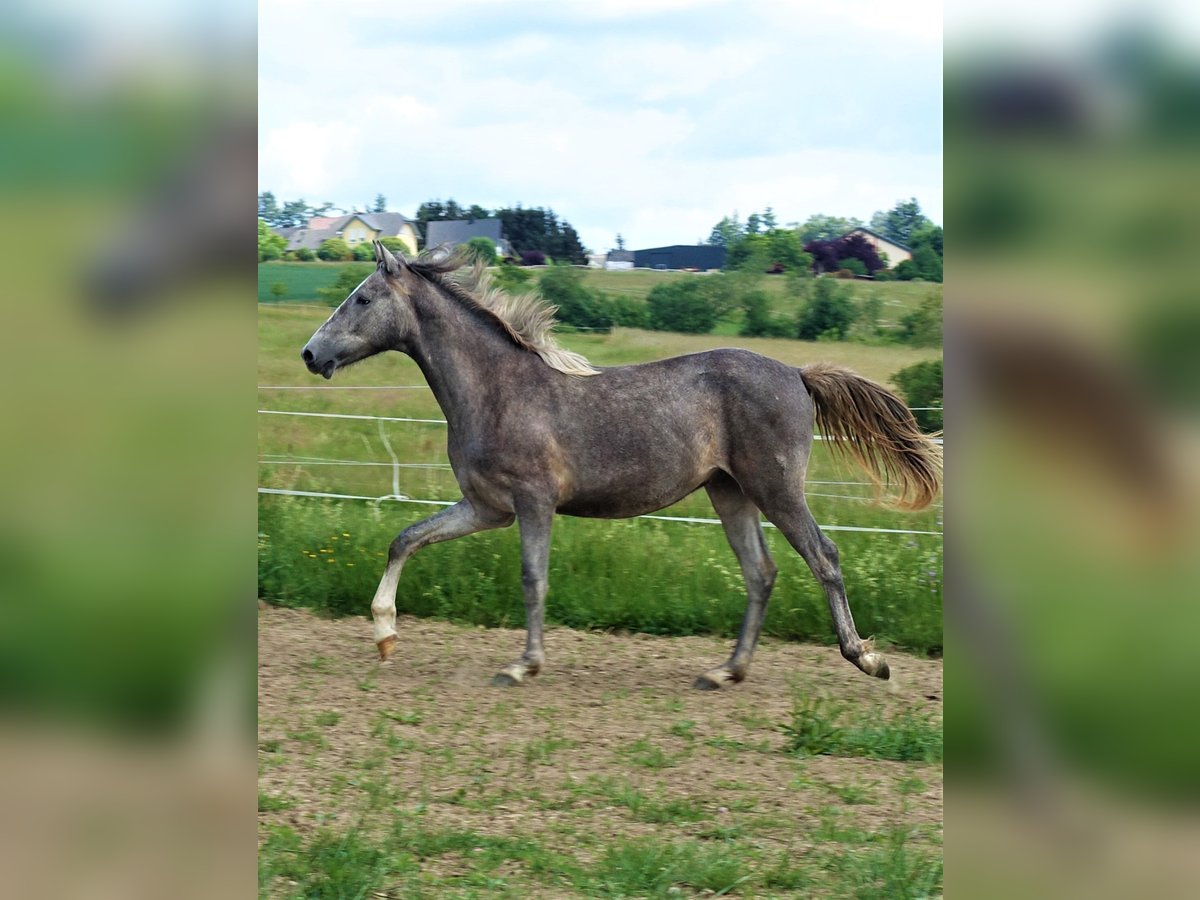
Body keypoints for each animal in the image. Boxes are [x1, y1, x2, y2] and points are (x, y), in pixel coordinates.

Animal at [297, 241, 936, 691]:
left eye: (362, 298)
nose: (310, 353)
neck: (496, 390)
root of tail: (799, 375)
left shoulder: (532, 502)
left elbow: (532, 578)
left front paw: (522, 665)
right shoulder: (485, 507)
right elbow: (406, 539)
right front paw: (384, 636)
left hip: (775, 486)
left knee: (823, 556)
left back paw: (868, 659)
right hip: (728, 492)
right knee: (761, 573)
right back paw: (724, 672)